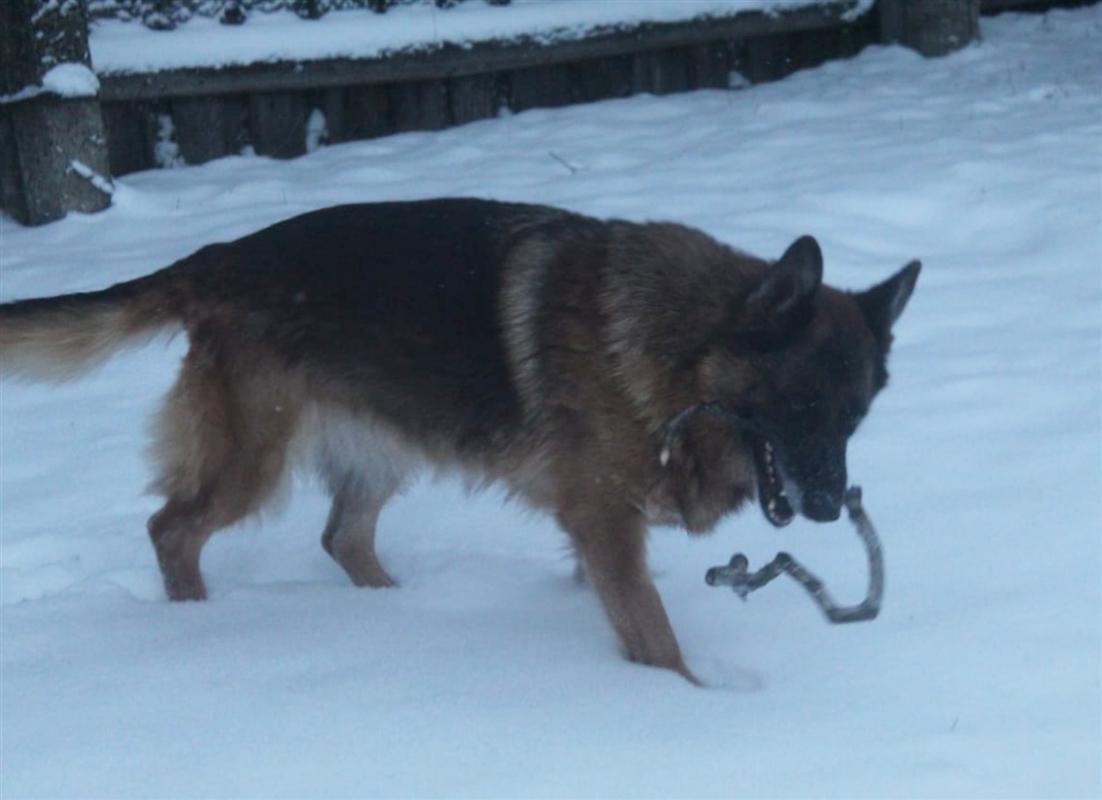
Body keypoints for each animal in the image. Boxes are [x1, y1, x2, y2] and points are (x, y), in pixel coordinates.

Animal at [2, 199, 921, 683]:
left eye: (854, 419)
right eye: (797, 407)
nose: (830, 507)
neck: (678, 349)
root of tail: (220, 257)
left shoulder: (599, 531)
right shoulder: (604, 522)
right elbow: (655, 638)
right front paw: (688, 700)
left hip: (381, 448)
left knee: (341, 538)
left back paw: (402, 611)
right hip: (251, 462)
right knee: (173, 528)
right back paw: (196, 628)